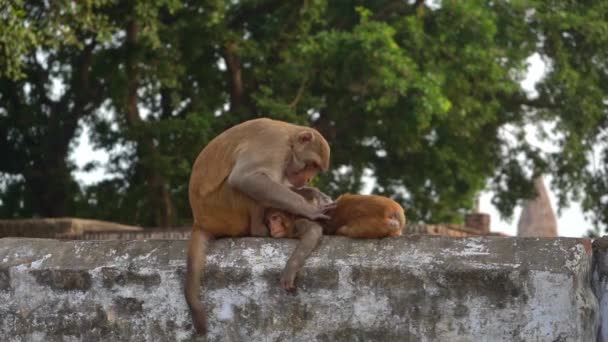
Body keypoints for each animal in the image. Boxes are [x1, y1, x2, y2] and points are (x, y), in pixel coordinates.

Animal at [264, 187, 404, 238]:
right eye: (269, 221)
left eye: (275, 218)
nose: (272, 227)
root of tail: (393, 209)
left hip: (374, 225)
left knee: (345, 230)